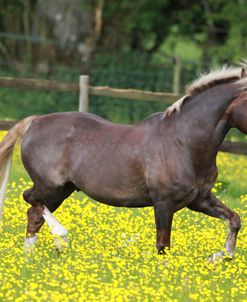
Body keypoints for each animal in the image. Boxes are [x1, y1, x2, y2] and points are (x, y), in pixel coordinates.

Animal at [0, 65, 246, 260]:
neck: (183, 141)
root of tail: (34, 122)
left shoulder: (199, 200)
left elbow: (234, 220)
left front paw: (220, 256)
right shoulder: (164, 203)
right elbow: (163, 247)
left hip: (63, 189)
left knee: (33, 214)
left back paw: (30, 256)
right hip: (50, 186)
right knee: (31, 201)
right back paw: (61, 237)